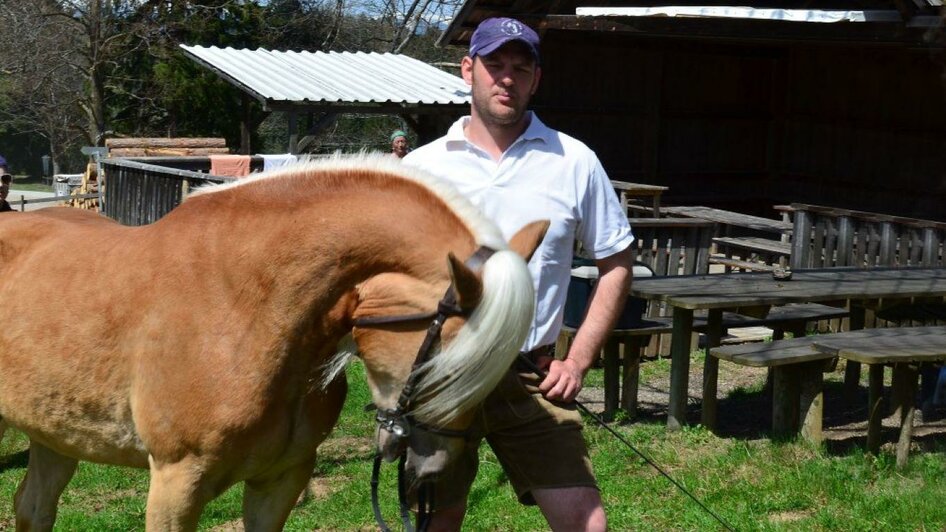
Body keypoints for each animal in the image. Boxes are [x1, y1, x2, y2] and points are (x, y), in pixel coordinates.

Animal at [0, 156, 544, 528]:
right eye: (445, 366)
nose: (435, 472)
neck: (244, 304)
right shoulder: (176, 483)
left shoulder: (281, 480)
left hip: (56, 434)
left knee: (33, 506)